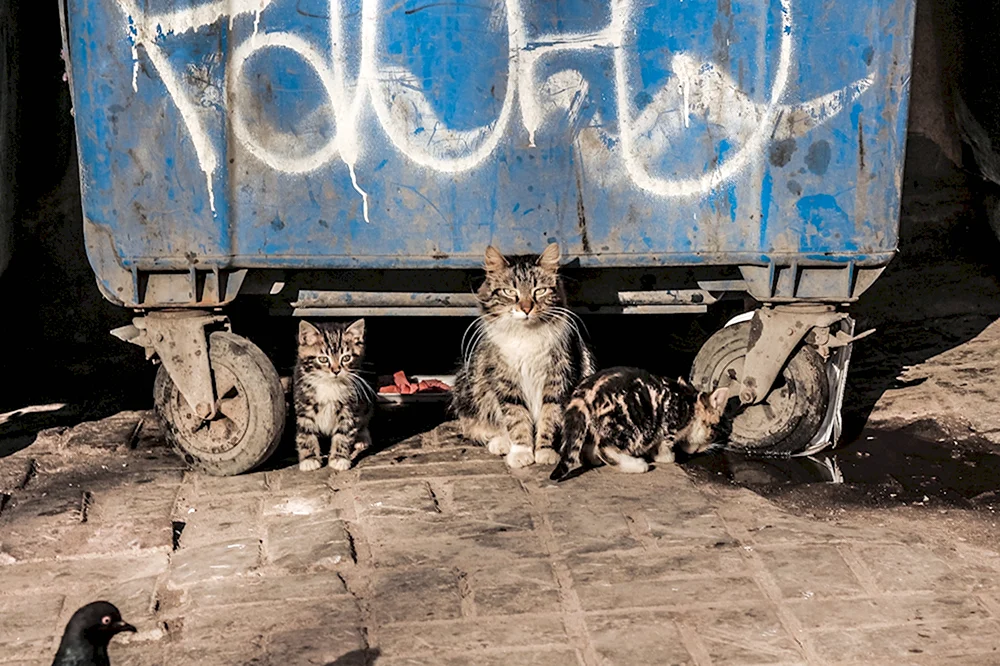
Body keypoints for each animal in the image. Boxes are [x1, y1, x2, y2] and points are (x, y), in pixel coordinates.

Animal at [294, 318, 376, 470]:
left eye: (346, 358)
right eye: (323, 359)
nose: (336, 370)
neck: (329, 384)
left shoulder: (349, 408)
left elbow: (344, 433)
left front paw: (339, 458)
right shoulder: (304, 403)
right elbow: (306, 432)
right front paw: (309, 458)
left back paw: (362, 438)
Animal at [452, 243, 592, 466]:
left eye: (540, 291)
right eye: (510, 292)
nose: (526, 308)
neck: (526, 336)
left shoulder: (556, 381)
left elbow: (549, 418)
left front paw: (544, 452)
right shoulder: (507, 383)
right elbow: (517, 420)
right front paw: (521, 453)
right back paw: (501, 443)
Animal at [552, 366, 732, 480]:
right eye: (714, 432)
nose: (711, 446)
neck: (690, 404)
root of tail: (585, 391)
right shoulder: (669, 423)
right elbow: (665, 444)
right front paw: (666, 457)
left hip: (593, 426)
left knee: (589, 445)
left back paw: (593, 459)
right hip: (635, 426)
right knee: (604, 448)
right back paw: (637, 465)